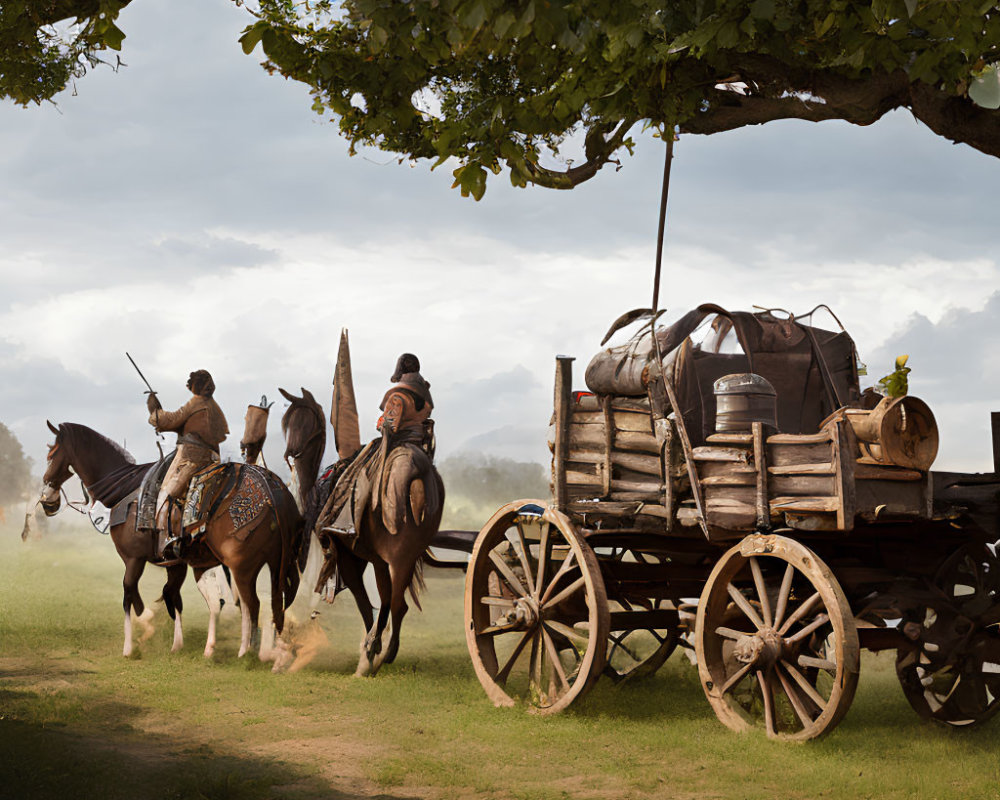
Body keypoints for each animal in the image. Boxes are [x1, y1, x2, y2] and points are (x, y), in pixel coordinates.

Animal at [40, 422, 304, 660]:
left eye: (51, 455)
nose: (46, 500)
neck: (127, 491)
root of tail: (273, 491)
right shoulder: (176, 563)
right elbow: (172, 596)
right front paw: (176, 643)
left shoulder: (134, 559)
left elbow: (129, 593)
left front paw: (132, 642)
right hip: (273, 565)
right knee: (266, 604)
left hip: (242, 567)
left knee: (253, 604)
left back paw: (245, 651)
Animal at [278, 388, 442, 676]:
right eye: (288, 421)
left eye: (304, 420)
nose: (291, 453)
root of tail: (417, 476)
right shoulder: (369, 560)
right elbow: (373, 605)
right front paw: (371, 647)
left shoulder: (348, 559)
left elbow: (365, 603)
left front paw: (369, 650)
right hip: (403, 558)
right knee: (396, 604)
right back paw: (384, 650)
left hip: (397, 558)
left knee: (396, 604)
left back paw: (379, 653)